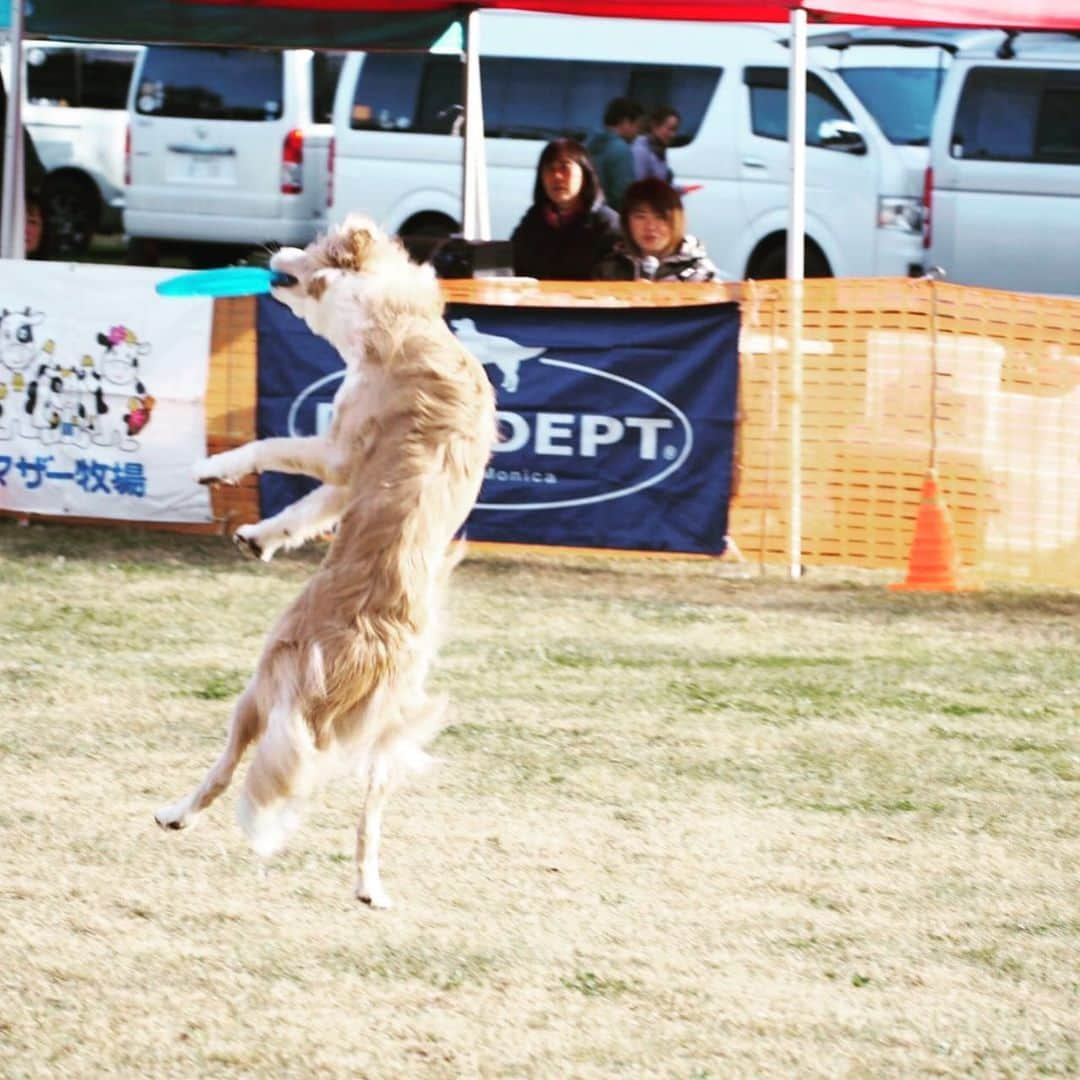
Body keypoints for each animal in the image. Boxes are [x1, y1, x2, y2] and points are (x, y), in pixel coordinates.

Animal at [155, 214, 496, 907]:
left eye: (309, 248)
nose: (273, 251)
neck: (401, 318)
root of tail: (370, 649)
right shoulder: (345, 482)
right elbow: (304, 512)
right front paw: (258, 538)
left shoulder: (339, 451)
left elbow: (268, 445)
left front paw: (212, 468)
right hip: (387, 741)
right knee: (369, 822)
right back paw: (369, 887)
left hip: (257, 689)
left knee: (225, 769)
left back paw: (174, 813)